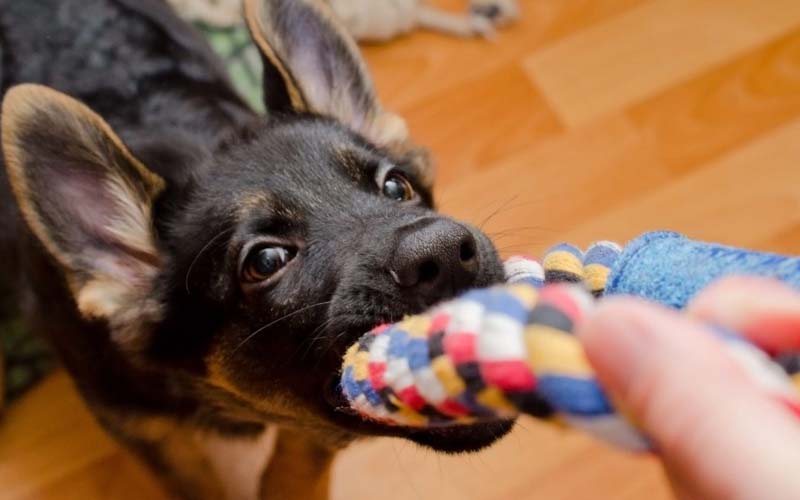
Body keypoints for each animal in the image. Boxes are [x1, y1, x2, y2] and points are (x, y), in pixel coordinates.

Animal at [0, 0, 512, 500]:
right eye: (266, 261)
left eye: (395, 186)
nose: (445, 255)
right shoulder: (148, 431)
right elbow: (199, 485)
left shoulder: (309, 435)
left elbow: (295, 469)